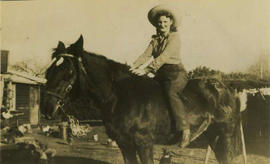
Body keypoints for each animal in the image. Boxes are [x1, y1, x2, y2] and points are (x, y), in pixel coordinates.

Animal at [41, 35, 243, 163]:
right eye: (49, 70)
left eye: (68, 72)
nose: (46, 108)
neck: (119, 96)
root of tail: (226, 88)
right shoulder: (124, 144)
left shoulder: (143, 144)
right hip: (213, 137)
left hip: (224, 137)